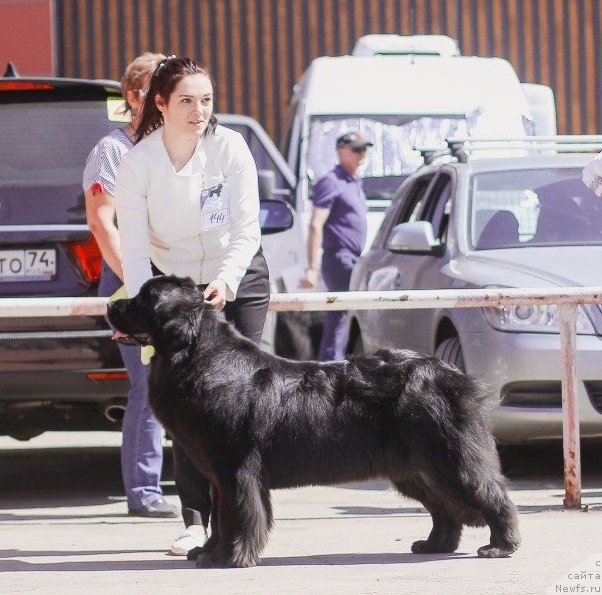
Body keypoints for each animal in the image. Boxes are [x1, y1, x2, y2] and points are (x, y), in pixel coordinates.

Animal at [106, 274, 516, 568]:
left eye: (144, 299)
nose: (111, 304)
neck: (198, 360)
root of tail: (449, 373)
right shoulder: (219, 475)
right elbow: (222, 515)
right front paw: (209, 552)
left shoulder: (235, 469)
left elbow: (237, 514)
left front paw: (227, 558)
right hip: (414, 469)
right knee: (444, 508)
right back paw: (434, 545)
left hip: (445, 458)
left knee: (489, 492)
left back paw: (500, 546)